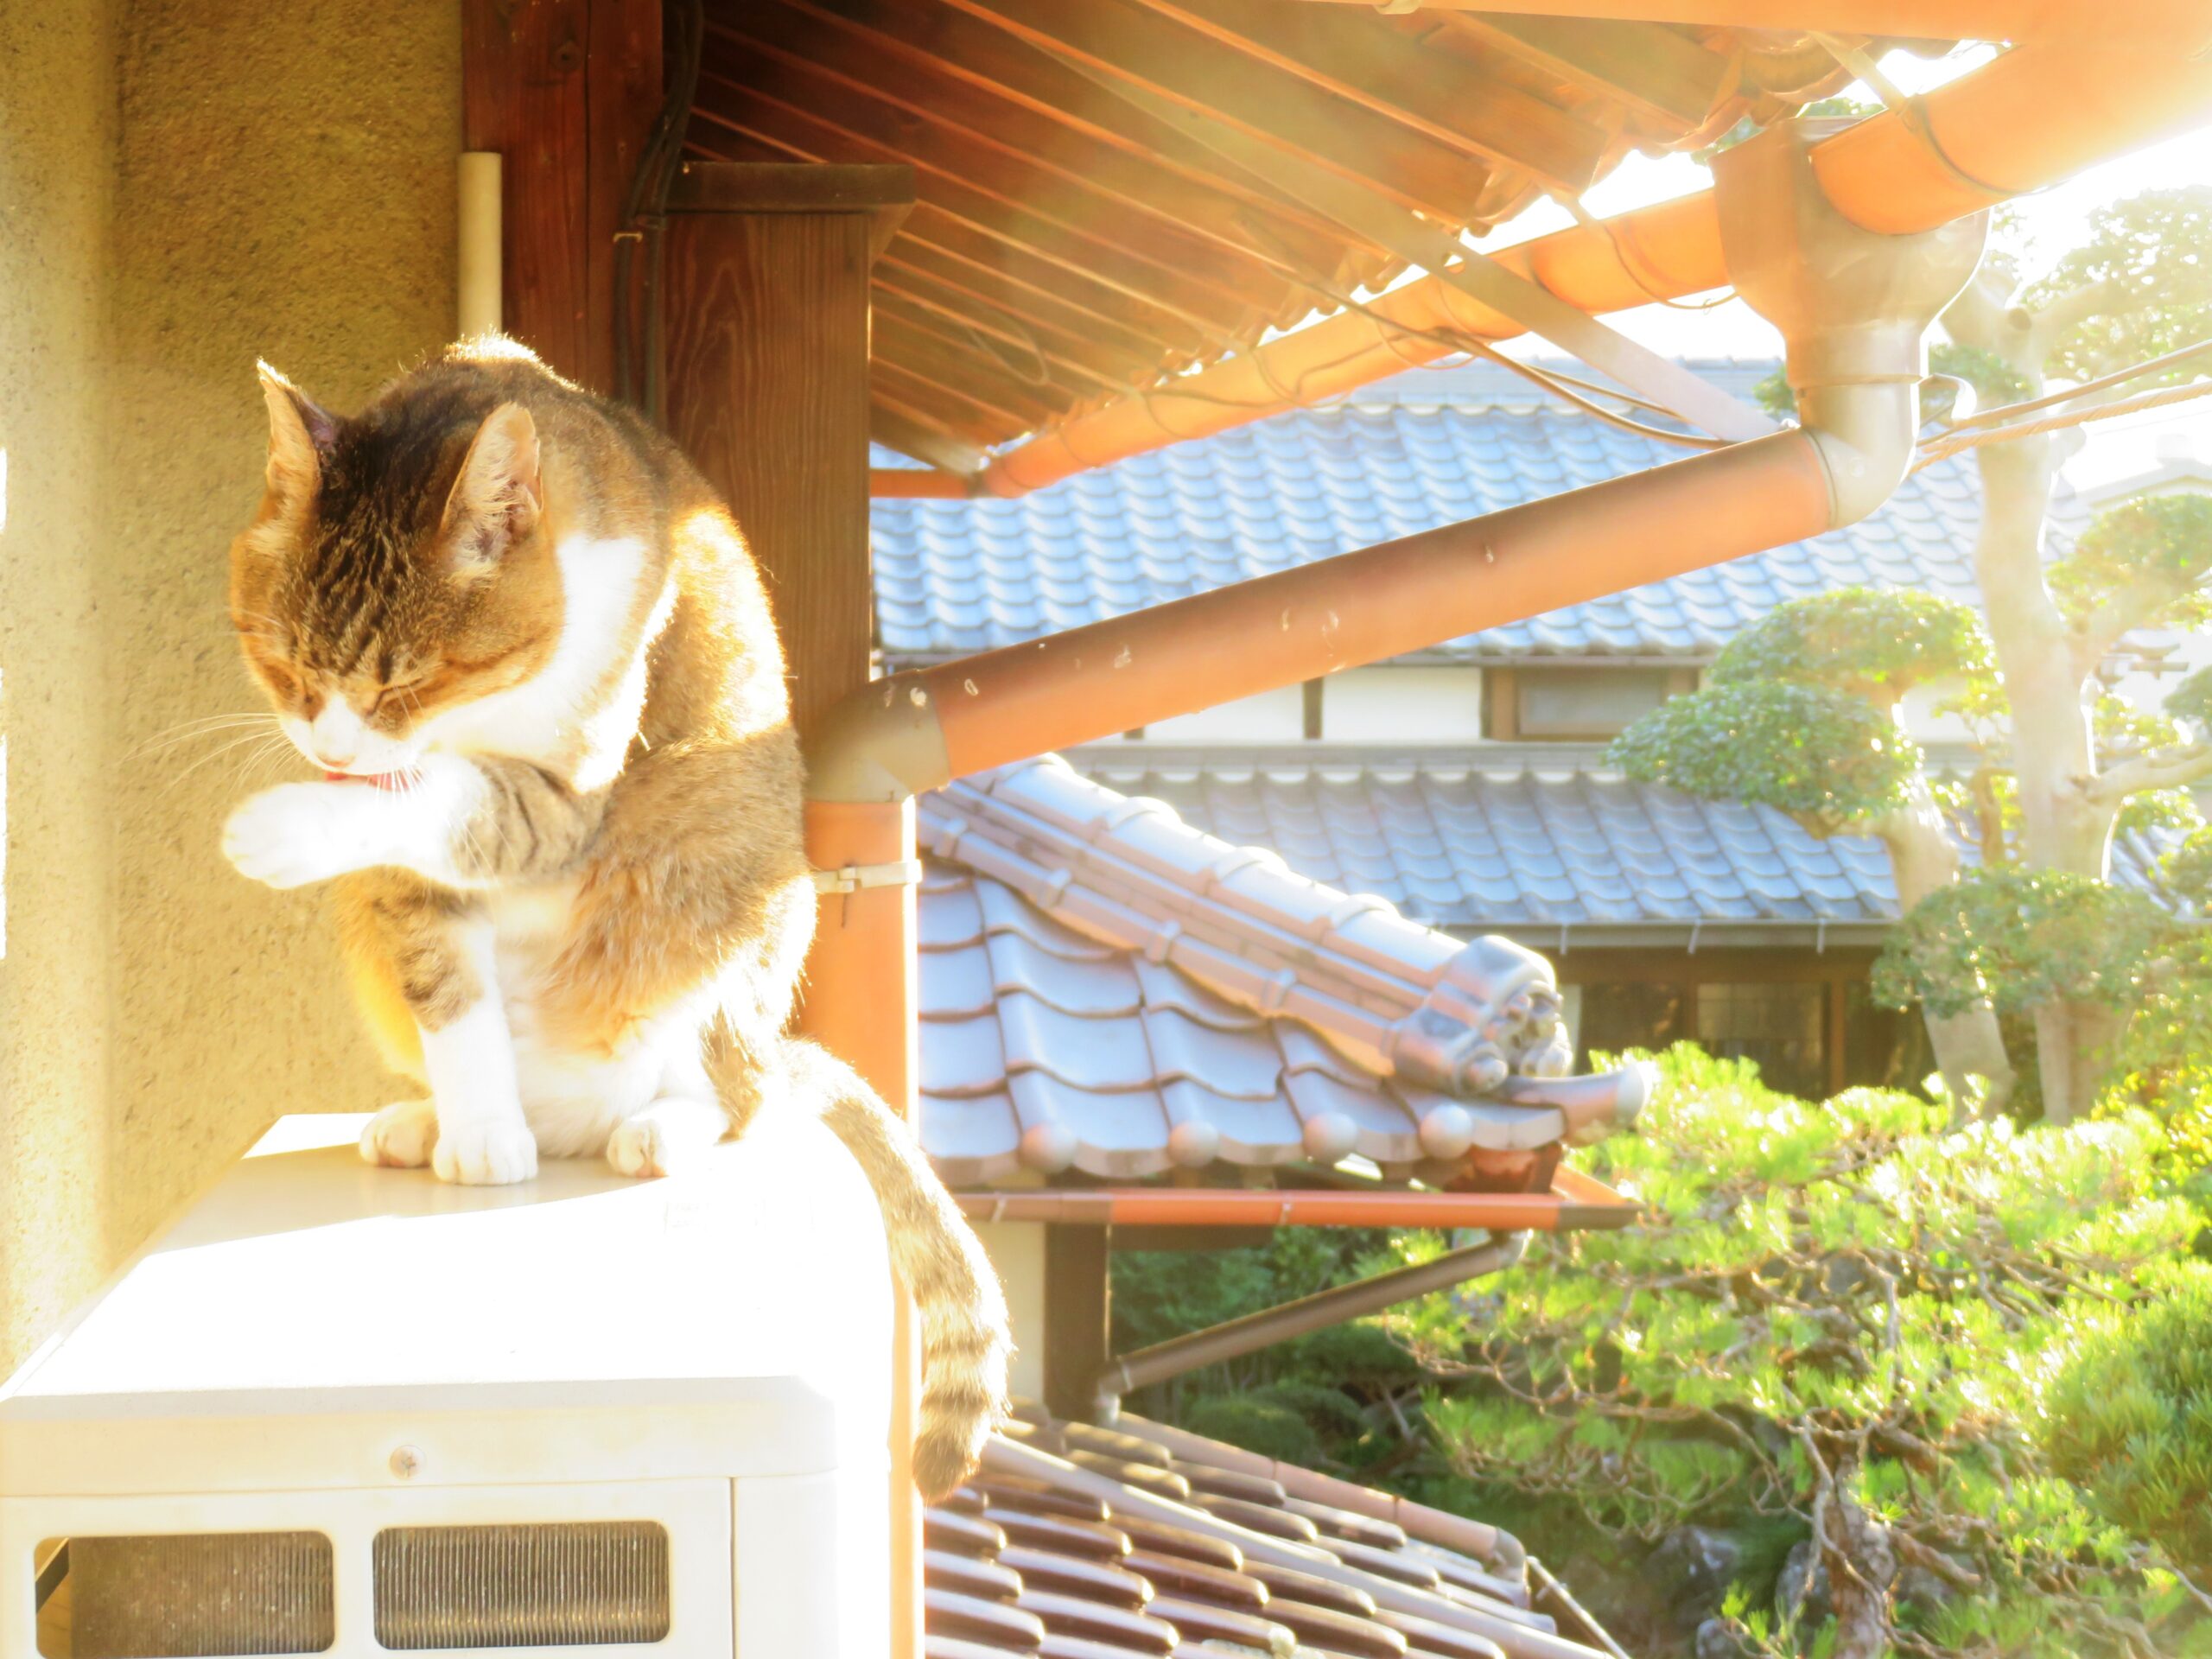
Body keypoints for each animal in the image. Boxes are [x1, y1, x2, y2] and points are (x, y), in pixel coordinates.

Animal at [215, 340, 1013, 1503]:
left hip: (715, 908)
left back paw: (662, 1128)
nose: (331, 752)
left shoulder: (563, 795)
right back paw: (431, 1121)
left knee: (745, 1096)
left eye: (408, 680)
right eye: (287, 664)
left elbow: (452, 800)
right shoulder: (404, 891)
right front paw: (480, 1130)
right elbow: (449, 993)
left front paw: (281, 824)